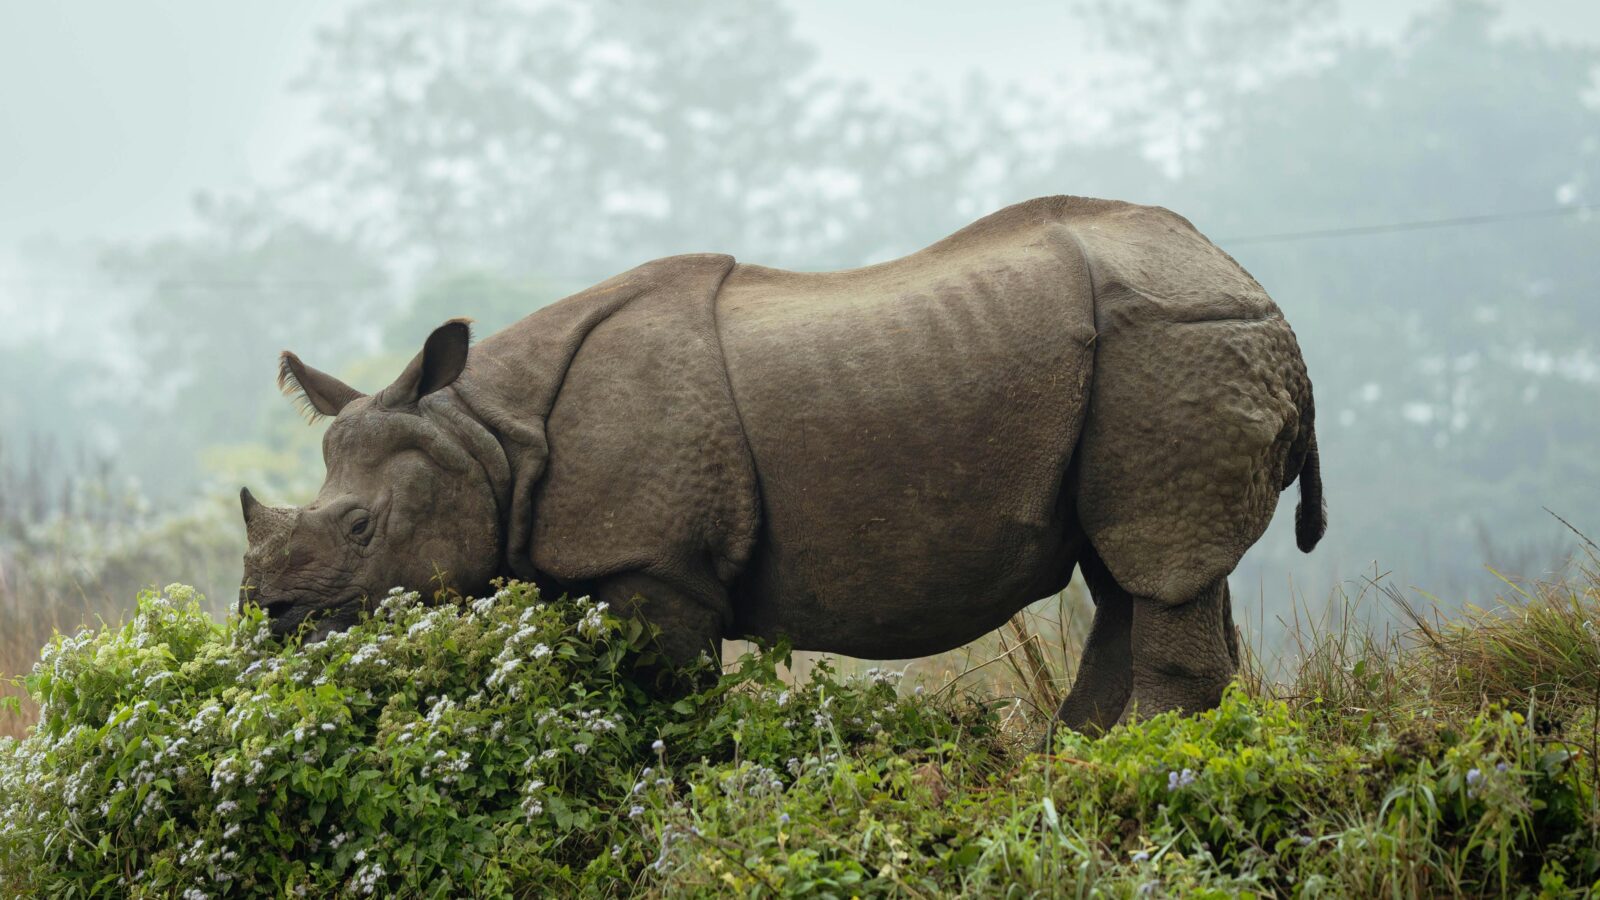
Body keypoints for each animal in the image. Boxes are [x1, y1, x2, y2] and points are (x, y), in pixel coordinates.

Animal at [240, 195, 1324, 727]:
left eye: (360, 528)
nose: (269, 618)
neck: (486, 433)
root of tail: (1257, 289)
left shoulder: (653, 562)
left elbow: (664, 711)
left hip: (1178, 345)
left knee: (1156, 566)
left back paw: (1140, 767)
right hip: (1159, 359)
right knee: (1125, 573)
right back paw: (1079, 760)